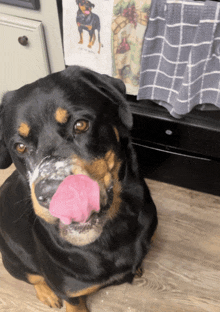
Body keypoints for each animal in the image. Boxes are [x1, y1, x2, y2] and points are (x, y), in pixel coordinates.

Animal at [0, 66, 158, 312]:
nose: (52, 193)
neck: (113, 230)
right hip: (12, 259)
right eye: (20, 146)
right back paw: (46, 293)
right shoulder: (71, 294)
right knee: (33, 277)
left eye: (80, 125)